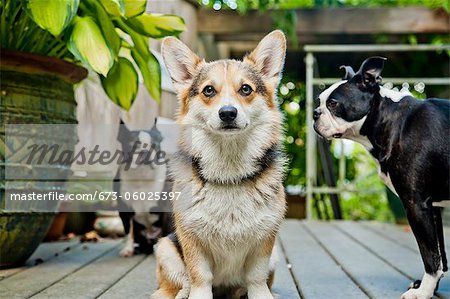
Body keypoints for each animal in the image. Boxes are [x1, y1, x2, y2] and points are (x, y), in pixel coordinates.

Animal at [149, 31, 286, 299]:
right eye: (209, 90)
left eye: (246, 89)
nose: (228, 113)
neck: (229, 173)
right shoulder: (192, 241)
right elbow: (200, 277)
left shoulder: (265, 243)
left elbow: (256, 279)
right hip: (165, 246)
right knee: (174, 285)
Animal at [312, 56, 450, 299]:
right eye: (319, 101)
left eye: (334, 104)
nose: (314, 113)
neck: (393, 122)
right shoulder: (433, 207)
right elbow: (440, 254)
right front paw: (429, 287)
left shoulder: (417, 204)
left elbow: (430, 255)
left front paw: (423, 291)